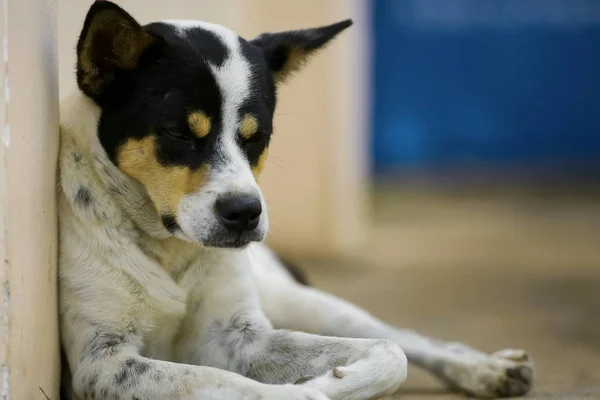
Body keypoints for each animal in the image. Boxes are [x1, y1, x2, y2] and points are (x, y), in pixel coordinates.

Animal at [58, 1, 532, 398]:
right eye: (178, 132)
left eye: (257, 137)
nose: (245, 214)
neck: (168, 248)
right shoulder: (104, 361)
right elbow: (231, 384)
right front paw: (314, 389)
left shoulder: (240, 335)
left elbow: (389, 351)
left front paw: (335, 379)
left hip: (301, 301)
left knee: (405, 337)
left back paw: (486, 368)